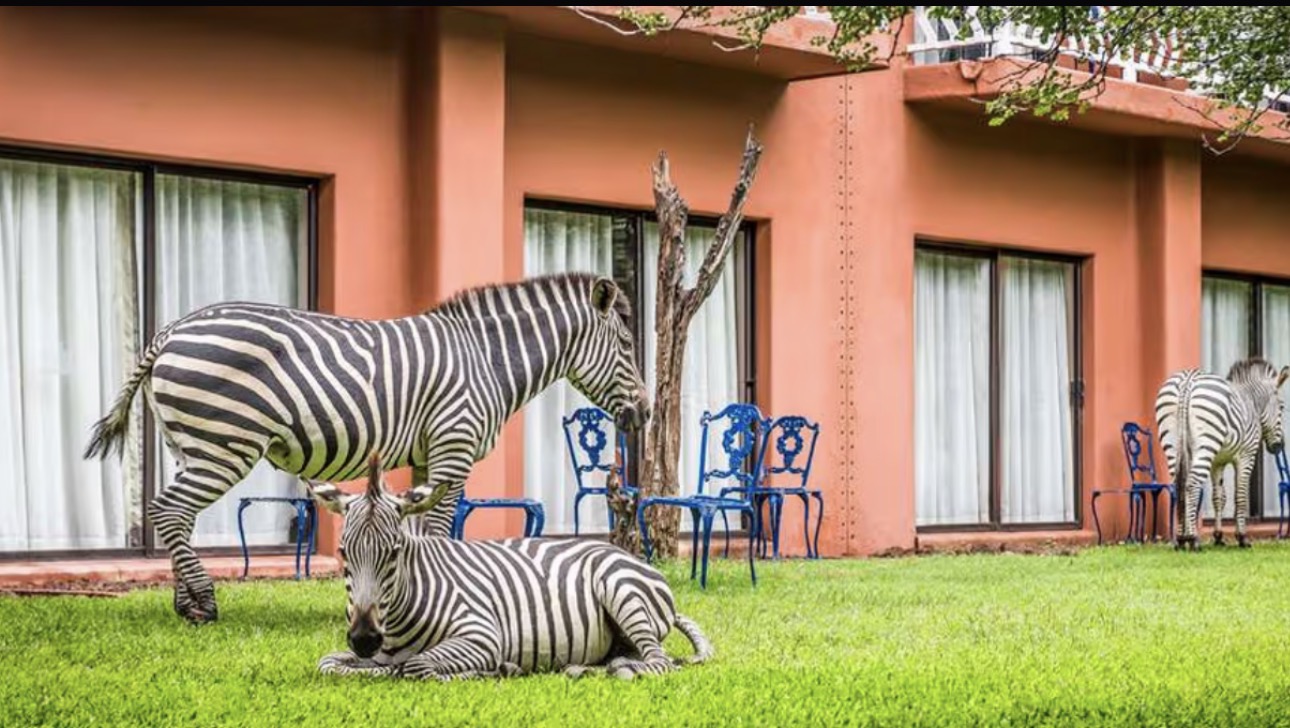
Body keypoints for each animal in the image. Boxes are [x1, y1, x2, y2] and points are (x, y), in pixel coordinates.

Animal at [82, 272, 651, 624]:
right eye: (626, 345)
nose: (645, 414)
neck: (486, 360)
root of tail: (171, 330)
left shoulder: (426, 456)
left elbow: (418, 531)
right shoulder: (453, 445)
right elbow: (439, 529)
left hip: (192, 445)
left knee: (173, 515)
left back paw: (185, 601)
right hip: (225, 443)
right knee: (169, 510)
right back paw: (202, 604)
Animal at [303, 450, 712, 681]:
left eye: (394, 552)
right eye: (343, 553)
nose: (364, 639)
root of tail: (632, 557)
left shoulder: (482, 634)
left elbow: (417, 667)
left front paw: (489, 671)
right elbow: (329, 663)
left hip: (621, 590)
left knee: (660, 662)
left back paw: (622, 671)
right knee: (628, 656)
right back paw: (582, 668)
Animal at [1155, 357, 1289, 550]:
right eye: (1282, 408)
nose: (1279, 446)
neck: (1253, 403)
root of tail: (1188, 380)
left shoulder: (1217, 462)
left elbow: (1219, 497)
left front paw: (1218, 537)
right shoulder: (1246, 455)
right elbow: (1240, 496)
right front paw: (1242, 537)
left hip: (1173, 444)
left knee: (1178, 485)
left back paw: (1180, 539)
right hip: (1206, 443)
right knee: (1192, 484)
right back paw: (1193, 539)